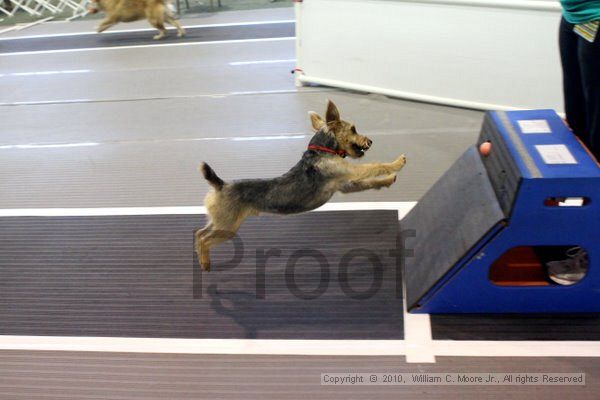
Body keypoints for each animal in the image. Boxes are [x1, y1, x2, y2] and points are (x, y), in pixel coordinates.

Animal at [197, 100, 408, 272]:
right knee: (205, 239)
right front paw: (397, 163)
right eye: (354, 129)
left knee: (199, 234)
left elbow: (370, 181)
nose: (370, 140)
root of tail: (220, 185)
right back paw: (205, 262)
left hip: (220, 221)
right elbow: (375, 166)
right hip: (227, 227)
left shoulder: (346, 184)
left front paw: (388, 180)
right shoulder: (350, 172)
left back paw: (201, 258)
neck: (323, 150)